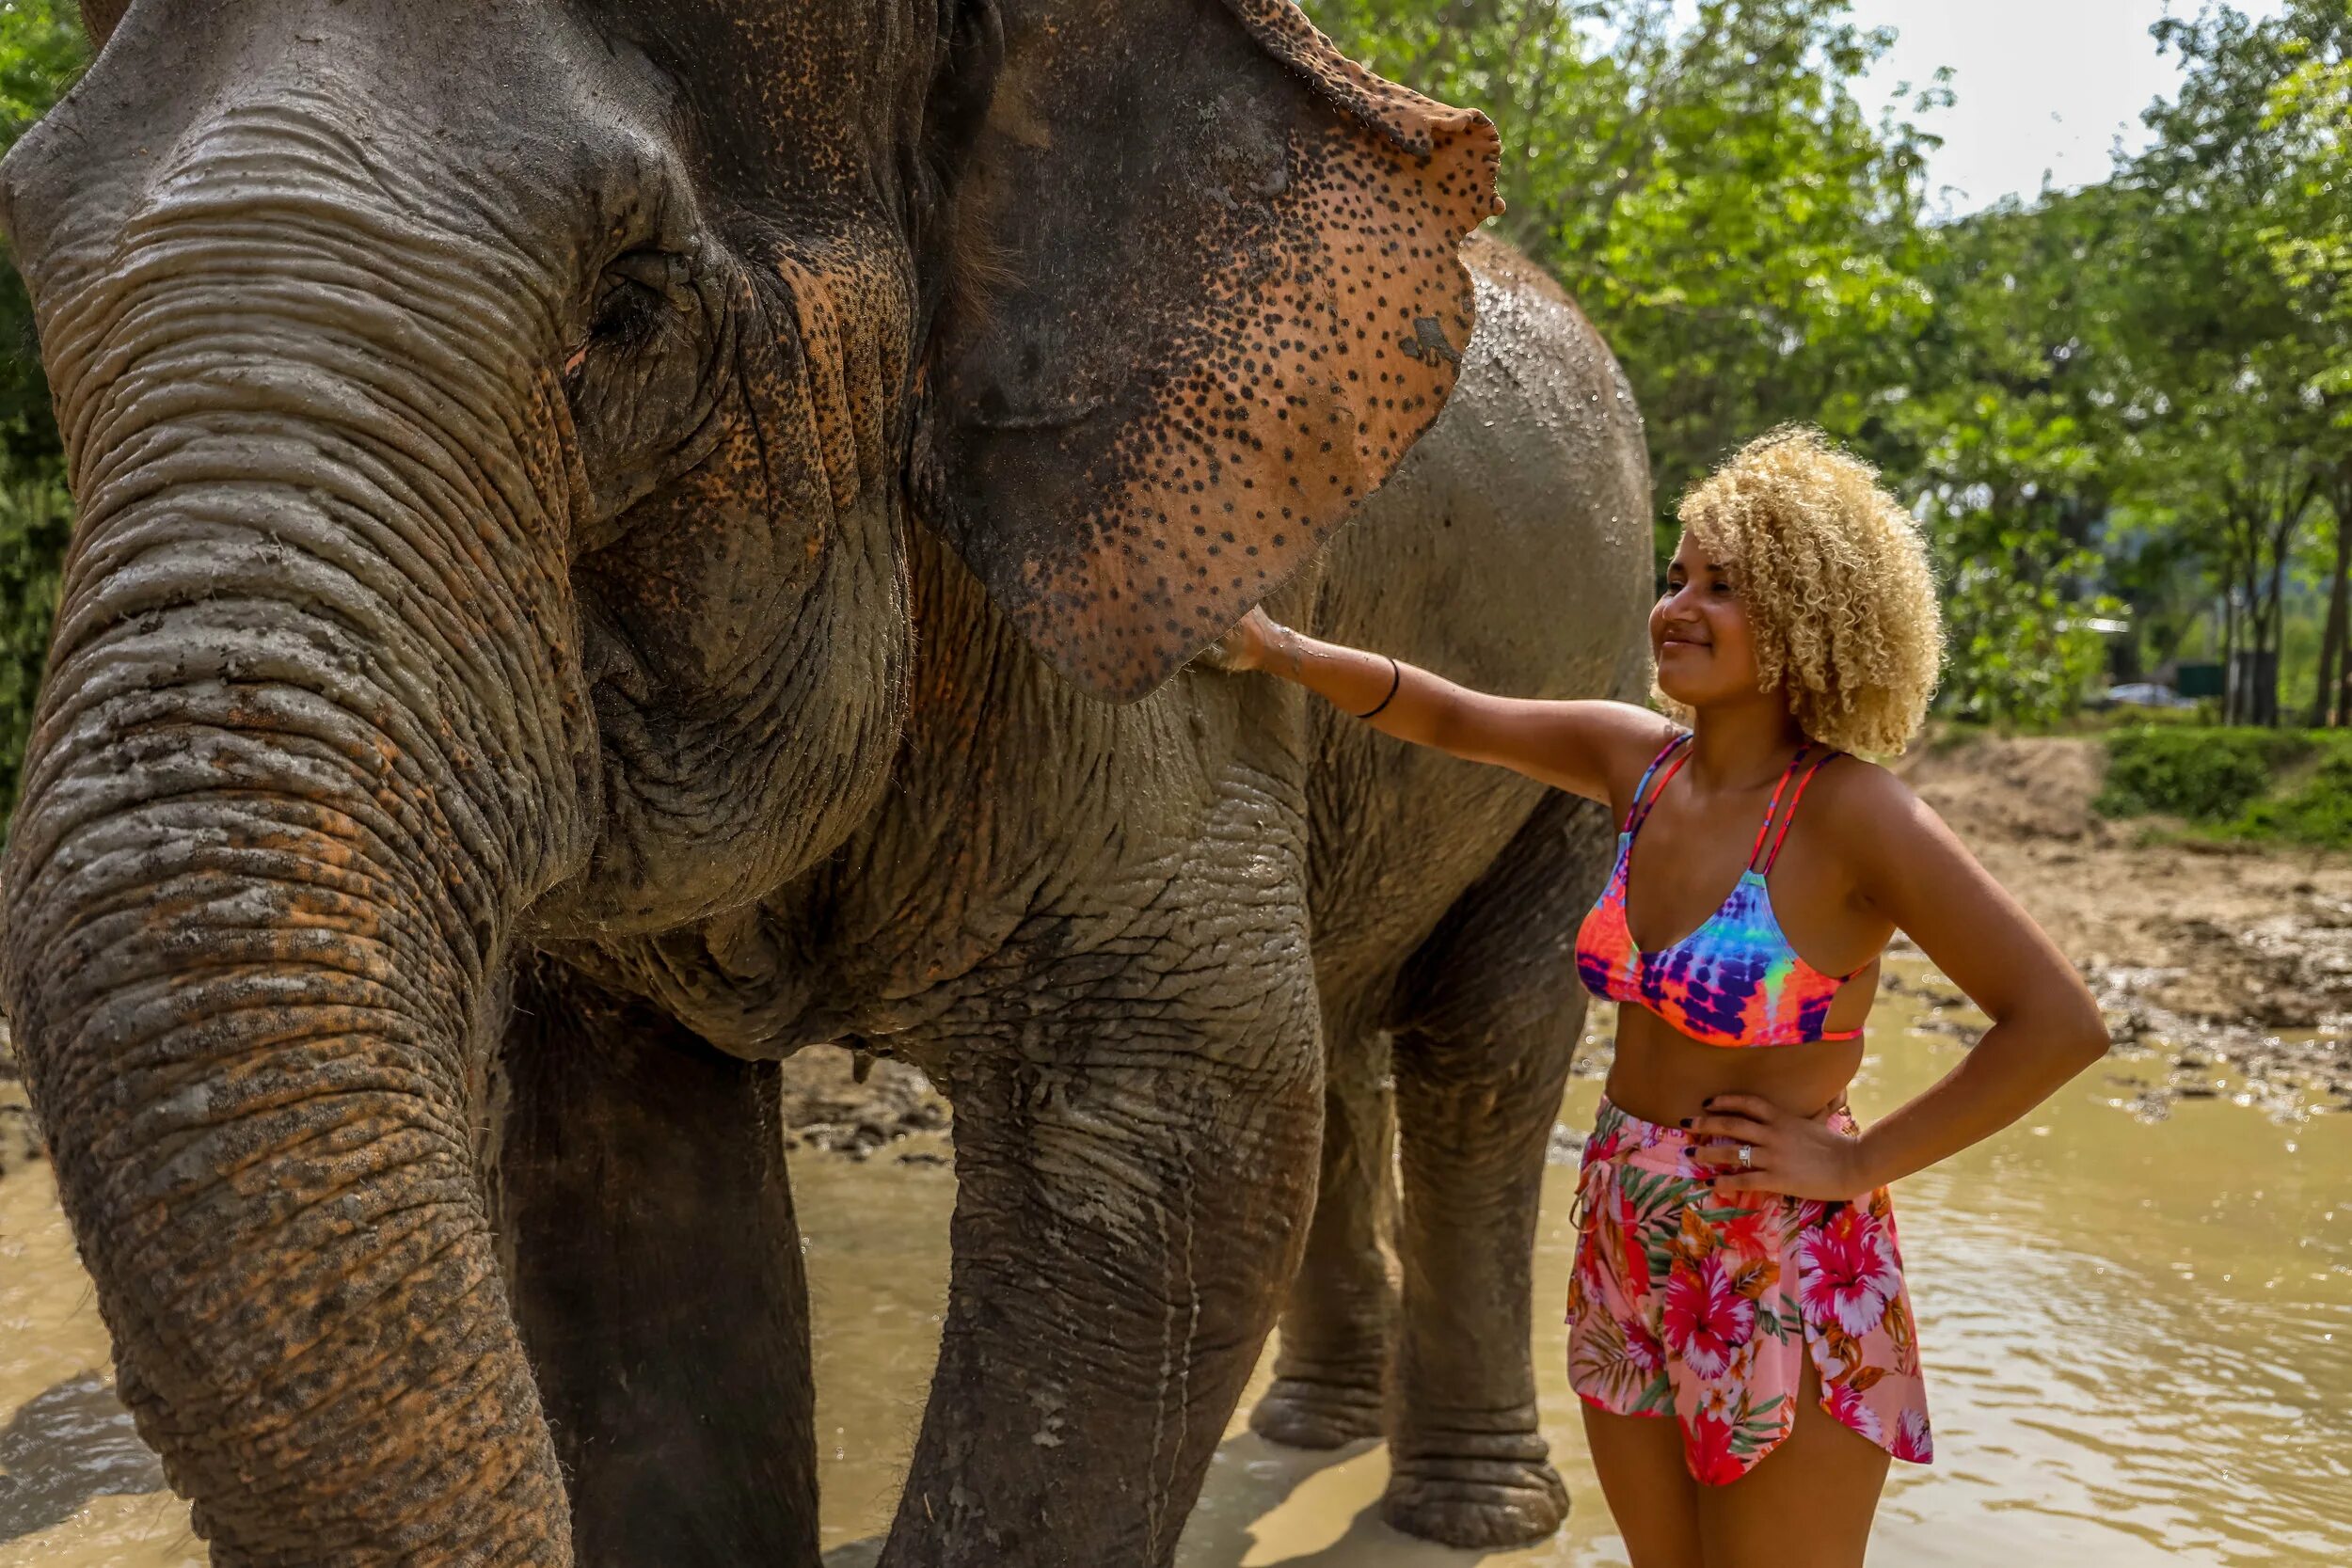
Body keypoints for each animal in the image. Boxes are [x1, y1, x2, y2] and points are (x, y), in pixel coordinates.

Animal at [4, 0, 1656, 1560]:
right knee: (1350, 1053)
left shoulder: (1145, 637)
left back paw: (1472, 1511)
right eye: (32, 255)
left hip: (1592, 713)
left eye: (626, 313)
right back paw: (1315, 1427)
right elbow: (624, 1194)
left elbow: (1175, 1126)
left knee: (1479, 1053)